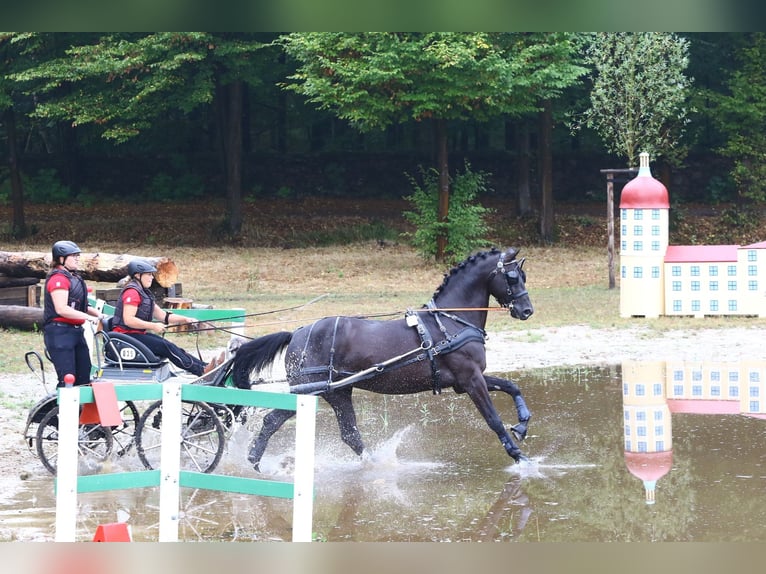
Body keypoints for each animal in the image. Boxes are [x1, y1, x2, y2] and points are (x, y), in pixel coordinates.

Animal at [231, 248, 536, 472]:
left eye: (523, 275)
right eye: (512, 277)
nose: (526, 310)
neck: (450, 321)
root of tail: (297, 332)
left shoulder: (466, 381)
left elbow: (512, 386)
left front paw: (522, 424)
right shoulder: (471, 380)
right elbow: (493, 419)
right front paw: (520, 457)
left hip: (338, 392)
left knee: (350, 434)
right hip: (310, 390)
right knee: (272, 420)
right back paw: (254, 463)